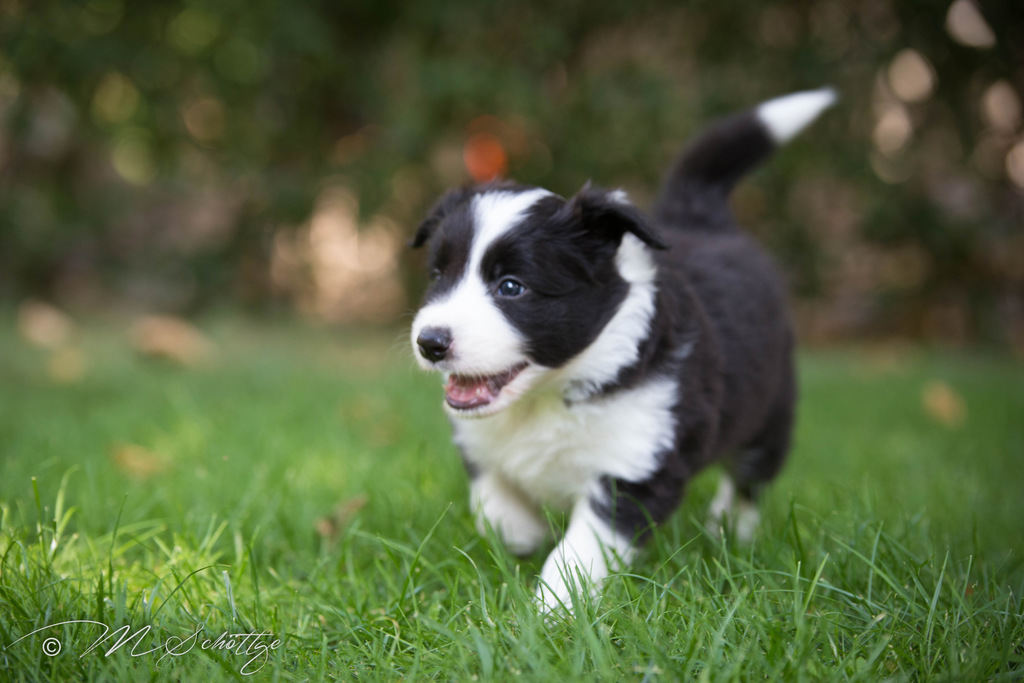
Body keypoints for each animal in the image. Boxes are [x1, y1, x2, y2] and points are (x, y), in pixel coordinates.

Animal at [409, 88, 835, 612]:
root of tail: (704, 219)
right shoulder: (478, 441)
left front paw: (550, 612)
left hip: (770, 411)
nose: (430, 342)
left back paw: (729, 529)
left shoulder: (636, 464)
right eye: (438, 275)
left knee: (749, 478)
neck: (545, 398)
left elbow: (580, 551)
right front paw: (522, 535)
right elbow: (492, 495)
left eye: (512, 287)